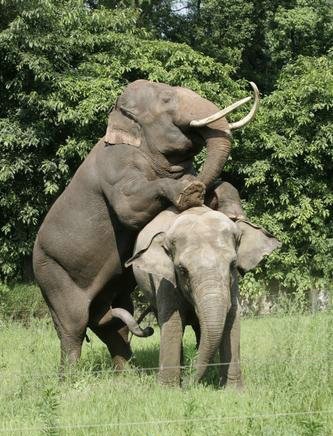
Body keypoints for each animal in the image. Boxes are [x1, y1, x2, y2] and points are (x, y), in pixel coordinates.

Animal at [32, 79, 258, 372]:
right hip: (53, 274)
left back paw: (128, 375)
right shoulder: (115, 164)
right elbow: (129, 207)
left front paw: (229, 209)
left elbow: (220, 185)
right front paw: (189, 191)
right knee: (73, 325)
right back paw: (70, 378)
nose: (196, 184)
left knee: (112, 324)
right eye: (167, 98)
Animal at [126, 204, 278, 384]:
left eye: (233, 264)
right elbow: (172, 322)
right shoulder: (164, 281)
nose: (188, 381)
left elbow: (232, 319)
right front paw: (168, 387)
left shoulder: (232, 283)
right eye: (182, 270)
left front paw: (233, 388)